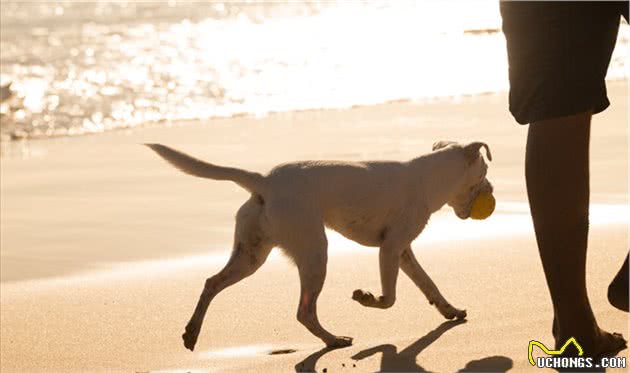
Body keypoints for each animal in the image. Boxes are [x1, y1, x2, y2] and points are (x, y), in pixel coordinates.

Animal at [147, 141, 494, 350]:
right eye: (485, 171)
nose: (492, 190)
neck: (429, 177)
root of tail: (265, 181)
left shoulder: (402, 251)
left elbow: (428, 284)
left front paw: (450, 310)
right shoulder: (390, 248)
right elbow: (389, 299)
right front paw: (367, 298)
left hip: (251, 255)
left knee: (211, 283)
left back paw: (192, 331)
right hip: (315, 253)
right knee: (305, 311)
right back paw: (334, 339)